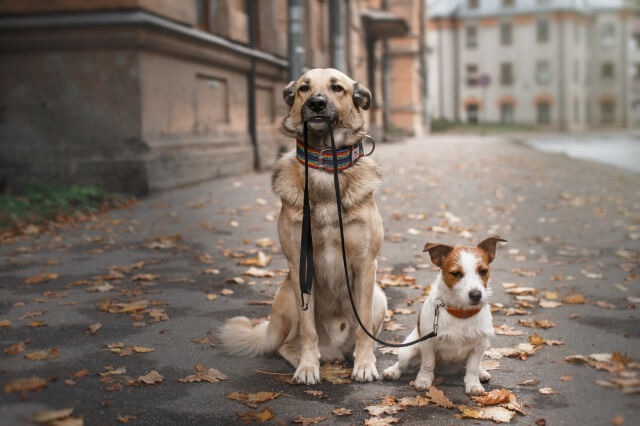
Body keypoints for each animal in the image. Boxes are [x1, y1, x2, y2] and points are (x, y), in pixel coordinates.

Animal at [220, 68, 388, 384]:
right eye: (303, 88)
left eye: (337, 88)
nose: (317, 104)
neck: (325, 164)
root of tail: (334, 350)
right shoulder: (300, 265)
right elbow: (308, 329)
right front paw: (309, 366)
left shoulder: (365, 265)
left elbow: (363, 329)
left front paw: (364, 364)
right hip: (287, 293)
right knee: (286, 344)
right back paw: (303, 358)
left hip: (378, 297)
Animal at [382, 235, 508, 394]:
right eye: (456, 273)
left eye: (483, 271)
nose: (476, 295)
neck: (461, 313)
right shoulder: (428, 343)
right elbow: (428, 364)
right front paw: (423, 380)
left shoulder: (479, 345)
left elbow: (472, 367)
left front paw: (473, 383)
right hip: (409, 350)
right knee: (402, 364)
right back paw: (393, 371)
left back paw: (481, 372)